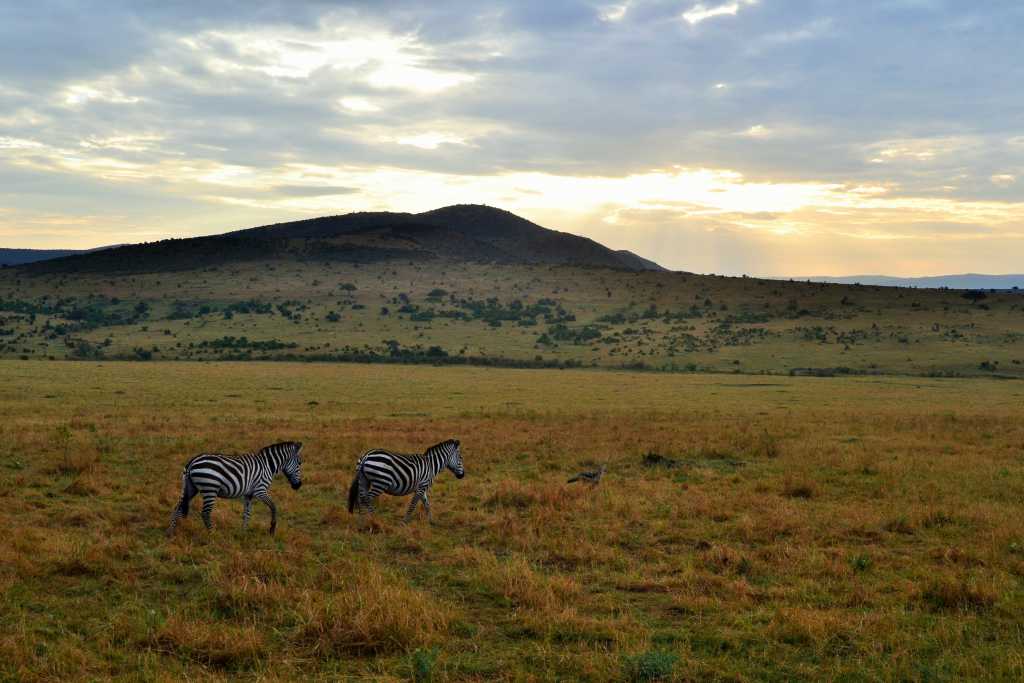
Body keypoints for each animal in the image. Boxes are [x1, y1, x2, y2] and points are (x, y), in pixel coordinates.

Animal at [166, 440, 303, 536]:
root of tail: (192, 461)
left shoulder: (249, 494)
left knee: (178, 507)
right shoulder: (260, 490)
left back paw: (172, 532)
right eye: (300, 463)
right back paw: (213, 534)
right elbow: (274, 507)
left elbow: (247, 513)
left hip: (190, 488)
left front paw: (244, 532)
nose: (298, 485)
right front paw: (272, 529)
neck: (268, 465)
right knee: (205, 513)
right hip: (210, 488)